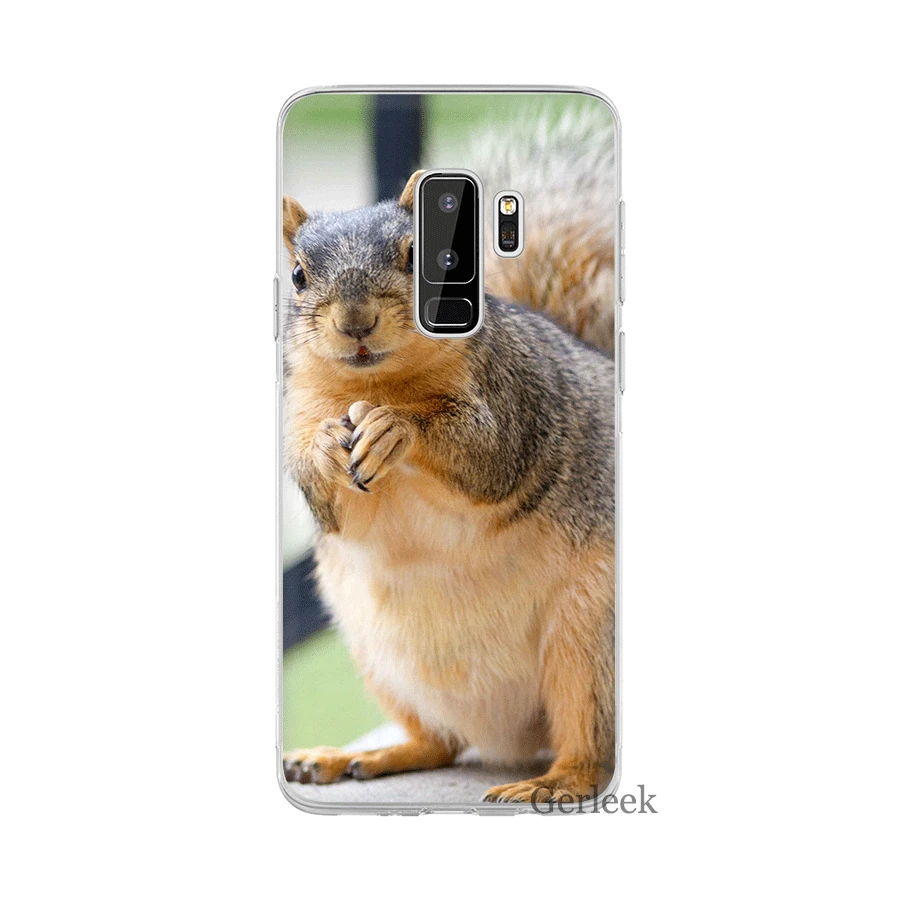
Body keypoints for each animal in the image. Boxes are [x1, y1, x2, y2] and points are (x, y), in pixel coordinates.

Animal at [281, 110, 618, 803]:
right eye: (297, 274)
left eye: (418, 256)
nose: (355, 322)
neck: (375, 384)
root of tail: (512, 734)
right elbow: (337, 511)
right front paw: (325, 447)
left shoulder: (517, 399)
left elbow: (488, 455)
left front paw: (396, 429)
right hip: (381, 661)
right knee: (438, 741)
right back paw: (352, 756)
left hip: (590, 636)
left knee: (589, 744)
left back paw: (554, 782)